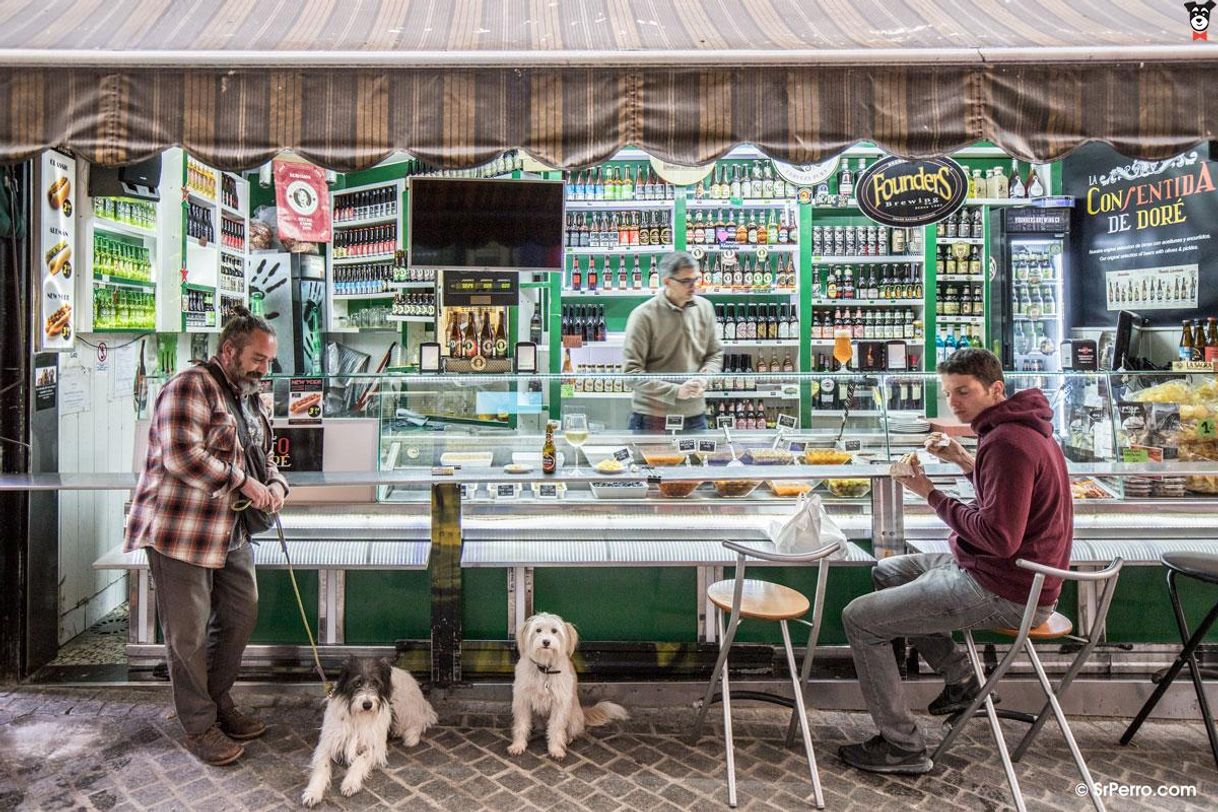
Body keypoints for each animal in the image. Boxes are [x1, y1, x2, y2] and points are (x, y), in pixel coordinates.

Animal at [303, 657, 438, 808]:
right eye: (357, 682)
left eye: (375, 683)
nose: (367, 705)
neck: (358, 715)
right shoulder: (328, 743)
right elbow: (322, 766)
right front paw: (313, 792)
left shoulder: (375, 746)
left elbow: (360, 760)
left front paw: (350, 782)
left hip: (405, 707)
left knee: (420, 720)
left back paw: (410, 737)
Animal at [506, 613, 628, 759]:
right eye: (538, 630)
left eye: (554, 631)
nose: (546, 642)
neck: (545, 669)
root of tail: (583, 712)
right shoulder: (522, 700)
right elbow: (521, 724)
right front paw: (518, 745)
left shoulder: (560, 703)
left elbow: (556, 727)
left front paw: (555, 748)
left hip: (572, 715)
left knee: (571, 731)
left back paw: (567, 738)